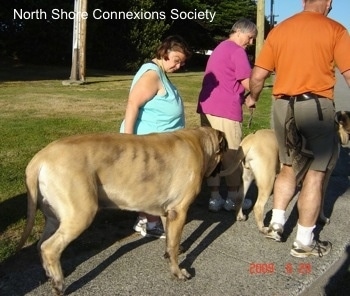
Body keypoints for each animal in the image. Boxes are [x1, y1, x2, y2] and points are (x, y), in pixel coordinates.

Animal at [17, 126, 228, 294]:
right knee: (49, 247)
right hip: (81, 213)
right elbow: (174, 245)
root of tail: (39, 158)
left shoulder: (168, 212)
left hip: (53, 216)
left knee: (41, 244)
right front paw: (178, 271)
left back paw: (50, 273)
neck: (198, 141)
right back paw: (59, 283)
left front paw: (169, 254)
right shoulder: (179, 211)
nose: (223, 169)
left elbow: (170, 241)